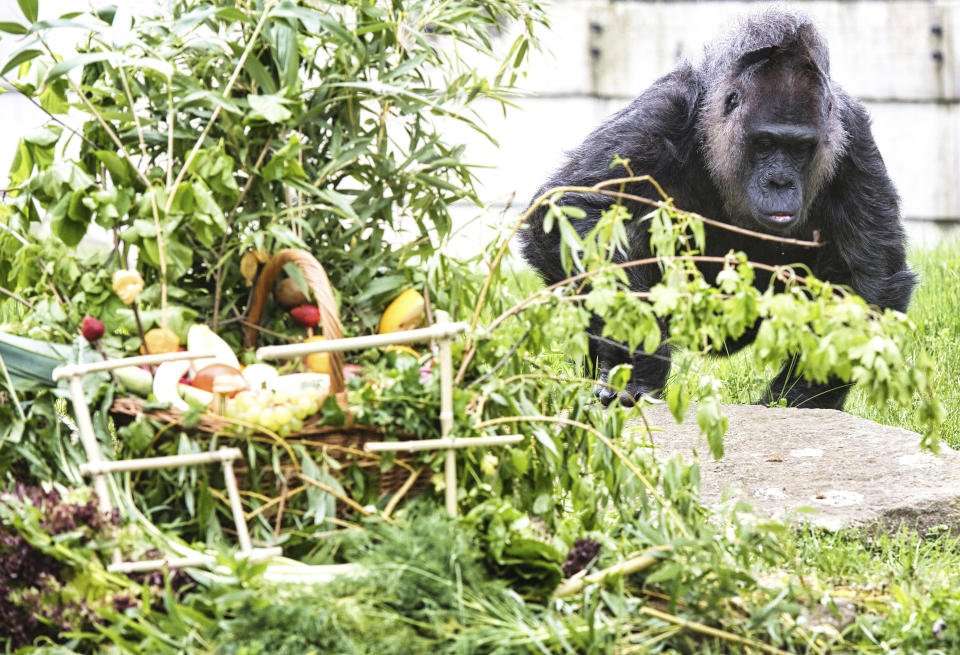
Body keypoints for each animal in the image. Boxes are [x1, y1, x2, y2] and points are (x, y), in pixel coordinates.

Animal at [516, 7, 916, 410]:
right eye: (764, 144)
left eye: (800, 148)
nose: (780, 183)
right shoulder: (662, 110)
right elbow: (575, 209)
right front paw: (638, 358)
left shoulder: (853, 137)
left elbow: (868, 275)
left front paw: (803, 397)